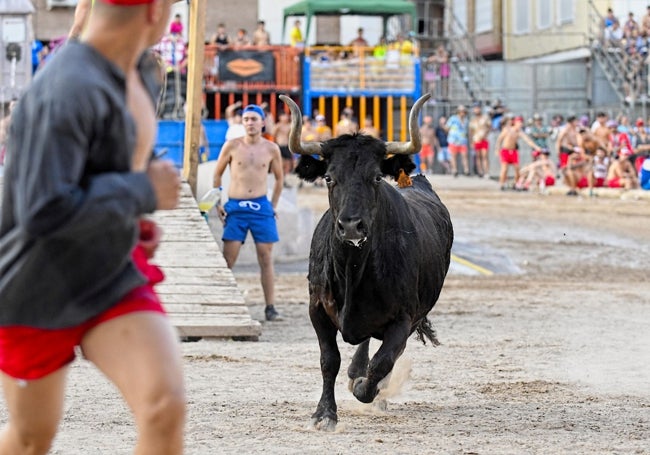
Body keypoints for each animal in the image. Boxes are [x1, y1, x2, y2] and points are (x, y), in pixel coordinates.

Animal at [278, 93, 450, 432]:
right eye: (329, 177)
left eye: (376, 177)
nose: (351, 227)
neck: (353, 271)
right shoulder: (317, 308)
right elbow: (329, 359)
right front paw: (324, 414)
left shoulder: (403, 319)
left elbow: (382, 363)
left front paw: (364, 387)